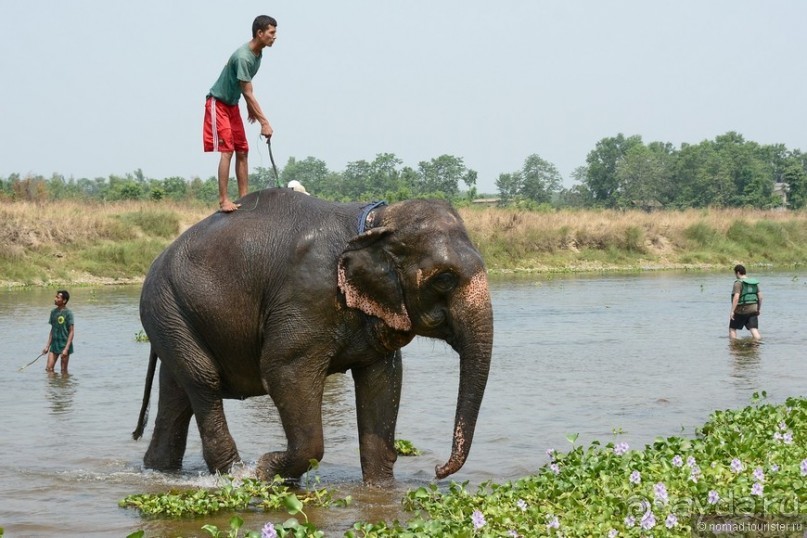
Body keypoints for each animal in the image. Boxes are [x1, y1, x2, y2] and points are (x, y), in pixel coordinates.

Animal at [133, 188, 492, 482]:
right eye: (444, 279)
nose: (438, 470)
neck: (374, 222)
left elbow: (383, 379)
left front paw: (380, 491)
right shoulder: (306, 296)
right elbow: (283, 369)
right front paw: (265, 469)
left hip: (173, 317)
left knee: (177, 391)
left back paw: (160, 470)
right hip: (165, 306)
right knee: (203, 382)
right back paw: (236, 475)